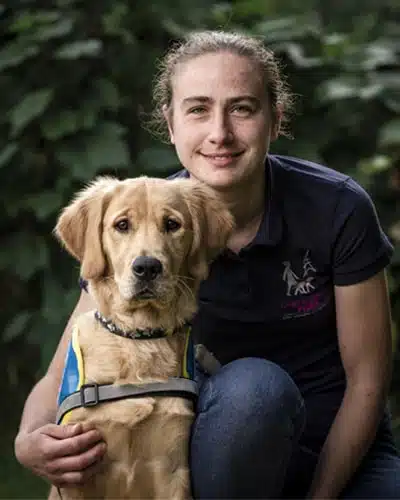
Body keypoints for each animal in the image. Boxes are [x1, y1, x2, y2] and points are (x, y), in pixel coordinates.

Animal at [51, 177, 234, 500]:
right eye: (122, 225)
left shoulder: (172, 468)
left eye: (172, 224)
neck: (137, 339)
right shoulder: (78, 468)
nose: (147, 267)